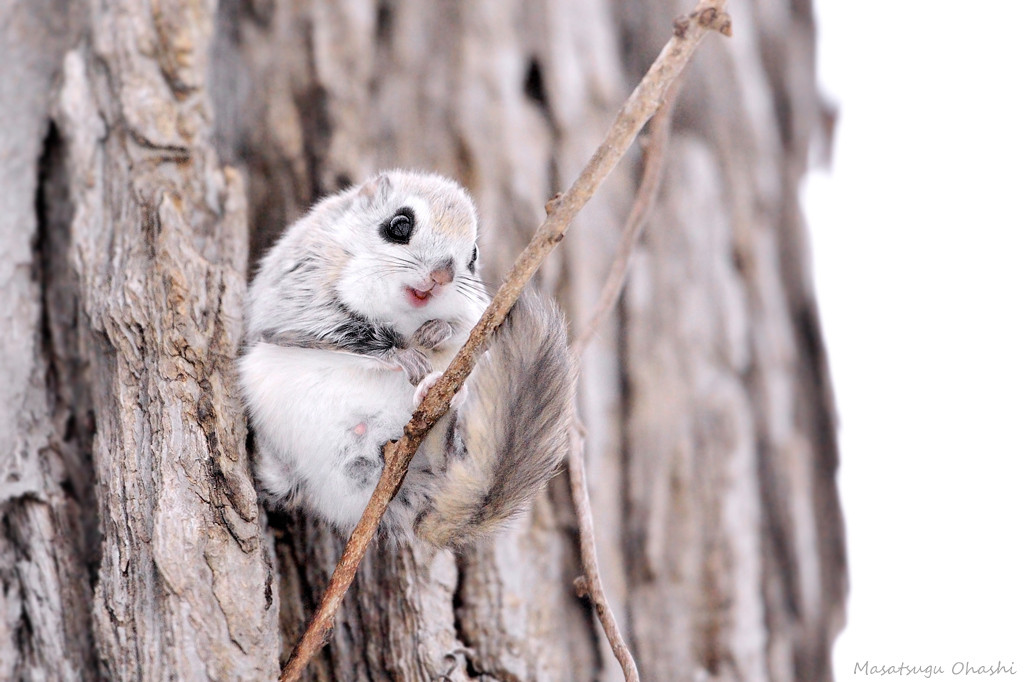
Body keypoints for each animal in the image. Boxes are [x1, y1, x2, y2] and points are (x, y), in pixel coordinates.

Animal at [234, 168, 581, 548]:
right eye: (399, 225)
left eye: (473, 256)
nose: (442, 275)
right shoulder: (299, 293)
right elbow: (340, 331)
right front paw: (403, 354)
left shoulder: (477, 312)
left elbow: (465, 328)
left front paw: (438, 330)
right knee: (284, 484)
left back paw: (438, 395)